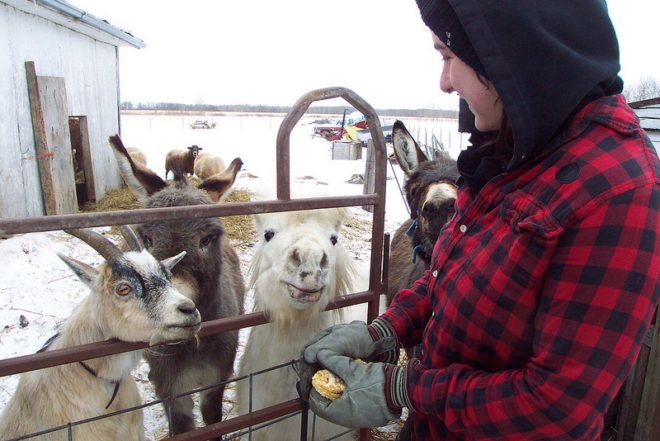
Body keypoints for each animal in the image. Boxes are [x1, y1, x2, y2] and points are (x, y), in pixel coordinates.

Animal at [108, 134, 245, 437]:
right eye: (146, 239)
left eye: (207, 238)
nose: (175, 312)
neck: (190, 347)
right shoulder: (172, 388)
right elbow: (183, 427)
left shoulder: (216, 377)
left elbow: (212, 418)